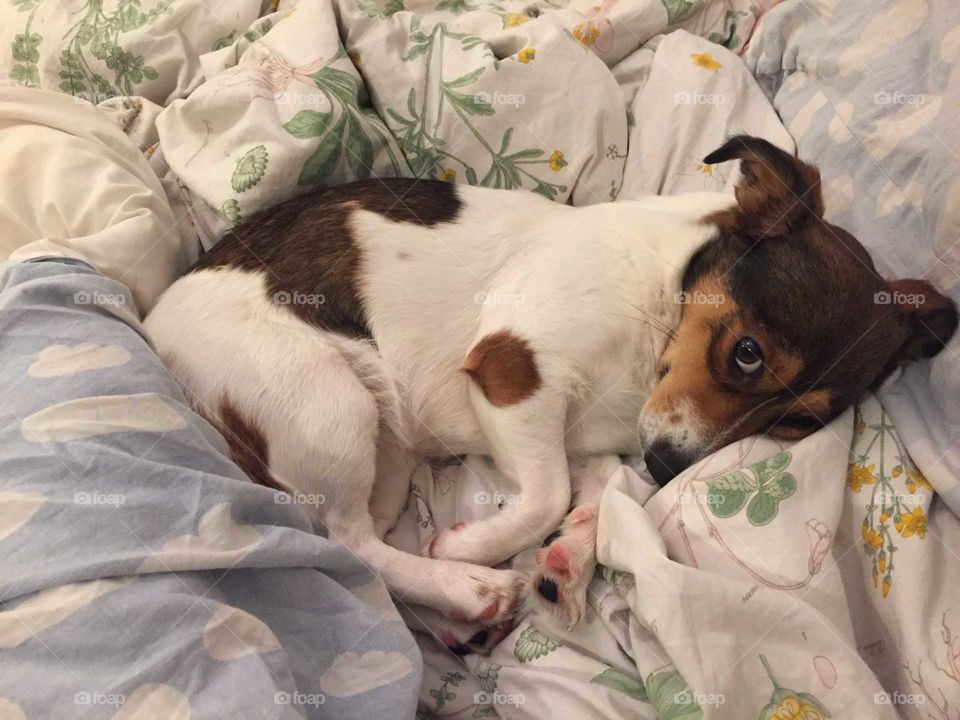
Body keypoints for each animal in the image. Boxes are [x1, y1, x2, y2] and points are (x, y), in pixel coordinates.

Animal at [146, 135, 956, 652]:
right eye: (747, 354)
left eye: (795, 426)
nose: (668, 468)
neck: (657, 308)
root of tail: (156, 329)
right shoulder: (513, 369)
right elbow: (547, 494)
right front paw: (478, 546)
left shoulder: (585, 437)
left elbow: (598, 495)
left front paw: (568, 561)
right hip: (326, 405)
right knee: (346, 542)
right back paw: (467, 587)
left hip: (387, 445)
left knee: (368, 535)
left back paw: (449, 615)